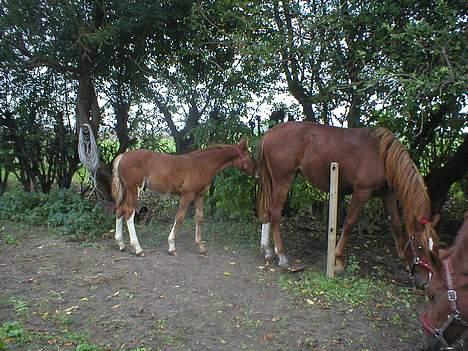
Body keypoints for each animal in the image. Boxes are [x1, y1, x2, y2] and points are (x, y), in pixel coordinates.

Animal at [111, 139, 254, 258]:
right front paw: (171, 247)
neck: (202, 164)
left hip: (125, 191)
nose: (256, 172)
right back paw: (138, 249)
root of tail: (123, 156)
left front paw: (201, 247)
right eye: (249, 156)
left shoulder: (199, 195)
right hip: (134, 190)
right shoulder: (187, 195)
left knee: (119, 210)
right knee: (129, 212)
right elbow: (179, 217)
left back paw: (121, 244)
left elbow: (199, 218)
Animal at [260, 122, 438, 290]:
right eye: (420, 247)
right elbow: (349, 224)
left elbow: (395, 226)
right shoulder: (361, 193)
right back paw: (281, 255)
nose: (425, 283)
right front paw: (338, 261)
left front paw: (404, 261)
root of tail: (269, 133)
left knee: (268, 212)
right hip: (283, 180)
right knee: (275, 214)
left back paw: (267, 250)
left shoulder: (388, 195)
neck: (382, 156)